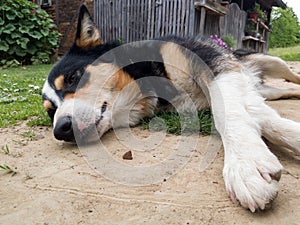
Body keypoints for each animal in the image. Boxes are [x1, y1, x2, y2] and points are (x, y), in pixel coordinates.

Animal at [41, 4, 300, 213]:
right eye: (50, 111)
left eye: (73, 78)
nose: (61, 129)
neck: (150, 77)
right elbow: (262, 117)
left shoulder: (215, 63)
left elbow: (228, 111)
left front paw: (246, 163)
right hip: (267, 88)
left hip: (274, 63)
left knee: (292, 77)